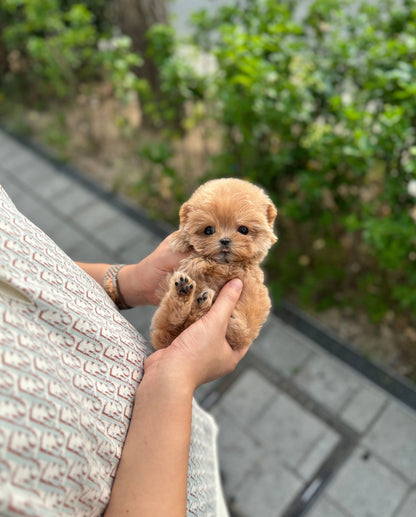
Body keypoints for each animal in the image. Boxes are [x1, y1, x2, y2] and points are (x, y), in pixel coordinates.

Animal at [151, 177, 278, 350]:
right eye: (208, 230)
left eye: (243, 230)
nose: (224, 240)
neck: (226, 263)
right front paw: (181, 240)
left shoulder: (252, 284)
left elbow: (243, 331)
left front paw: (197, 261)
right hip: (165, 317)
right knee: (174, 318)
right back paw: (185, 292)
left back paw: (197, 300)